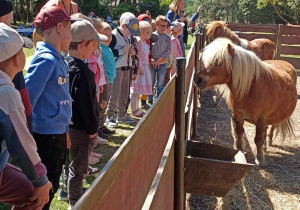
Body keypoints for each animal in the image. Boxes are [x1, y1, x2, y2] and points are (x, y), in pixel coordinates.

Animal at [195, 37, 298, 166]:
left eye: (219, 63)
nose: (197, 80)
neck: (250, 89)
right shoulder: (237, 116)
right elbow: (239, 133)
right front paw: (240, 151)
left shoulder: (260, 119)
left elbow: (258, 139)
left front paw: (259, 159)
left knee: (272, 128)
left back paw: (268, 142)